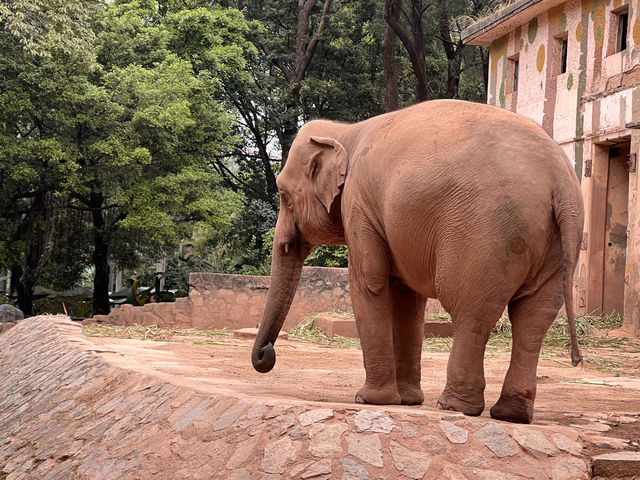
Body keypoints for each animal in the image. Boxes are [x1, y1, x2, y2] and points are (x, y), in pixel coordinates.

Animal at [251, 99, 584, 422]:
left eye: (283, 195)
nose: (266, 354)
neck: (346, 131)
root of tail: (560, 181)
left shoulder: (358, 204)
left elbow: (369, 282)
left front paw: (370, 399)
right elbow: (407, 300)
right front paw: (408, 401)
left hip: (485, 234)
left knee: (472, 312)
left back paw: (454, 406)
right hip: (555, 244)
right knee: (533, 318)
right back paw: (511, 414)